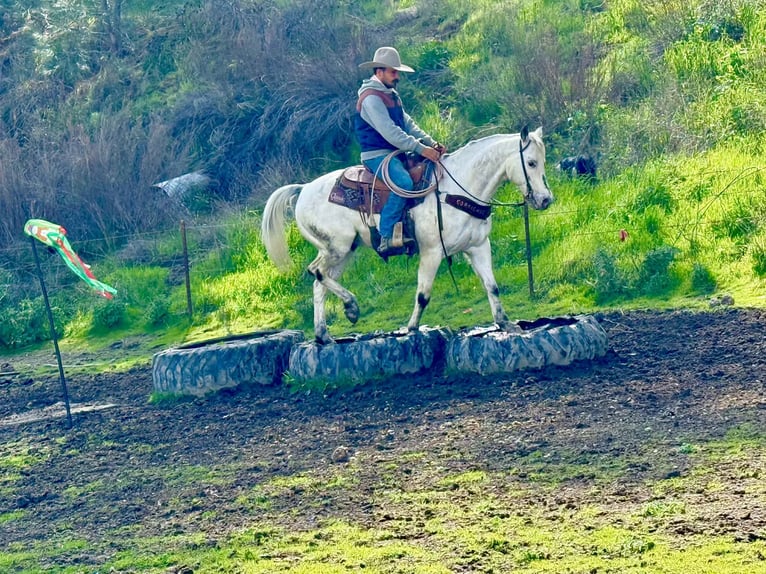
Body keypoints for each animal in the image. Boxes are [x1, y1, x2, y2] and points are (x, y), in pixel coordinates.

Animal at [261, 126, 554, 344]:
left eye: (543, 162)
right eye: (531, 162)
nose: (545, 199)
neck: (458, 188)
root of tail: (303, 189)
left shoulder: (479, 246)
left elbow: (492, 286)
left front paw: (506, 323)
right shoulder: (432, 252)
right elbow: (423, 295)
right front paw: (411, 329)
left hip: (344, 251)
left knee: (319, 282)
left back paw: (324, 334)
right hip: (337, 248)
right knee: (317, 272)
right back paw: (351, 307)